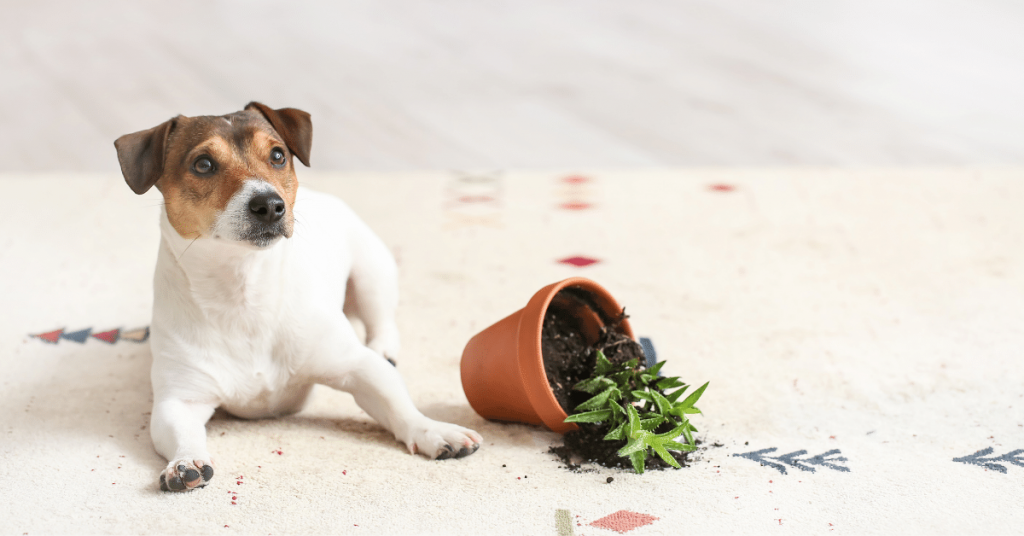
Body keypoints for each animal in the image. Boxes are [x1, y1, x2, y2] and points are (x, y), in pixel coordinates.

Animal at [114, 102, 481, 493]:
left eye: (278, 155)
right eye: (203, 164)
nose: (270, 204)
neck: (243, 289)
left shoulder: (356, 366)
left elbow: (397, 403)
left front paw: (435, 431)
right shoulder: (180, 399)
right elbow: (181, 433)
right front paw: (185, 463)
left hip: (372, 272)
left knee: (382, 322)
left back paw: (385, 348)